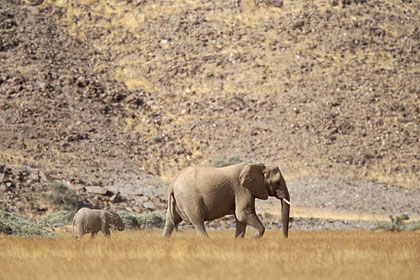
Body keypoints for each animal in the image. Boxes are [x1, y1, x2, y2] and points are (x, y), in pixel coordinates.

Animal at [162, 162, 290, 238]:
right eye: (277, 182)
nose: (284, 238)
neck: (259, 166)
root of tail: (173, 183)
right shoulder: (242, 189)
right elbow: (243, 214)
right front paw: (252, 238)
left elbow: (240, 219)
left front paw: (240, 240)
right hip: (190, 198)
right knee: (198, 222)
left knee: (170, 222)